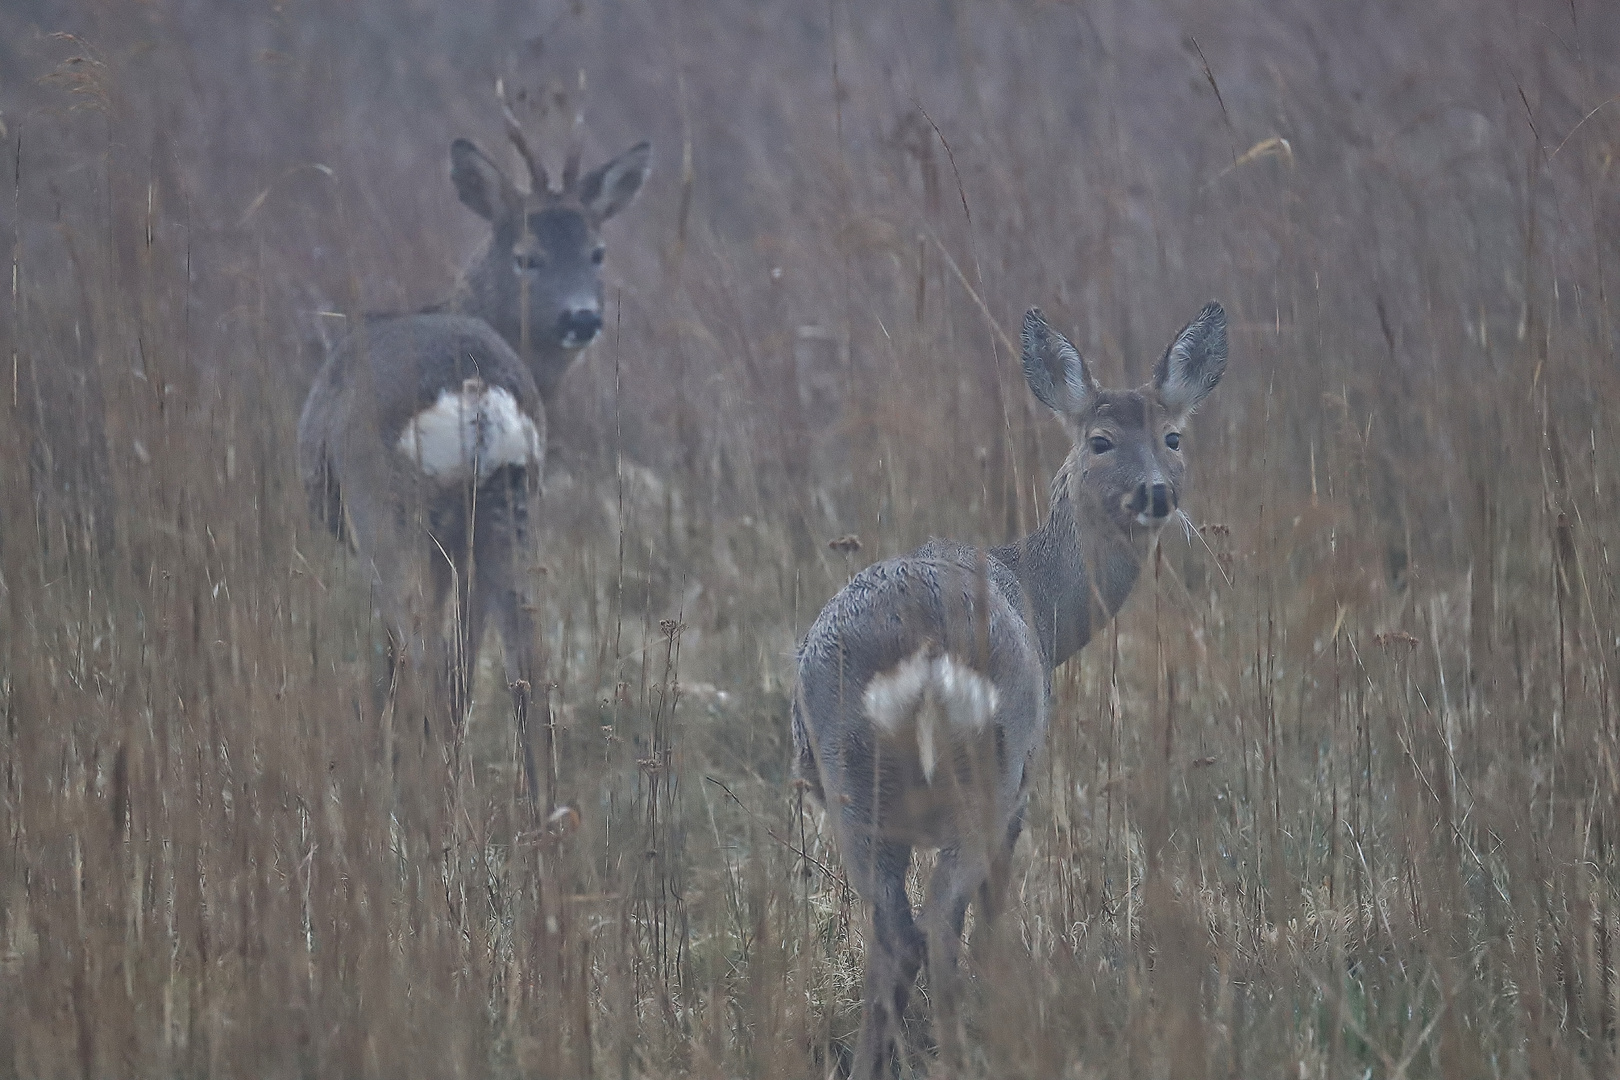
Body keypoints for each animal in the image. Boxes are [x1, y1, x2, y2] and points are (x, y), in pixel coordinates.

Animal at [298, 101, 651, 799]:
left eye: (596, 251)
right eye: (526, 257)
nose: (581, 317)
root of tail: (478, 392)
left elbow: (399, 654)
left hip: (390, 507)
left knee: (425, 654)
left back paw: (431, 783)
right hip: (509, 500)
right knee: (526, 660)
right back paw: (541, 806)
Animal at [793, 299, 1224, 1075]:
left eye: (1173, 435)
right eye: (1100, 441)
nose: (1156, 492)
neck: (1041, 603)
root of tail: (925, 656)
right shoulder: (1022, 792)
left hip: (850, 788)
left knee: (895, 932)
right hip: (989, 771)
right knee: (936, 924)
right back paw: (964, 1050)